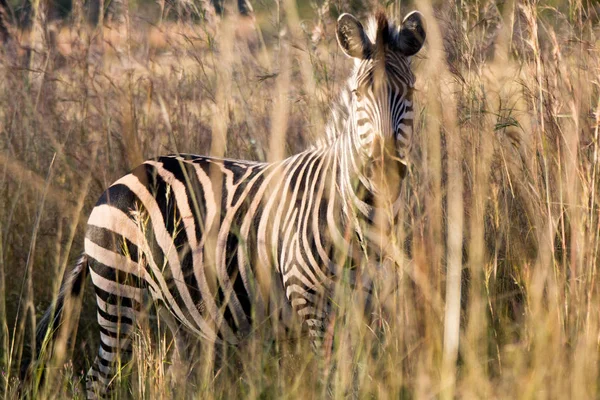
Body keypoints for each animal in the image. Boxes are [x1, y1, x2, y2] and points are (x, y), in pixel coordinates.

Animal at [32, 8, 426, 396]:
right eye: (359, 93)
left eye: (409, 91)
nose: (384, 168)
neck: (359, 215)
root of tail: (122, 178)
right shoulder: (310, 301)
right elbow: (334, 383)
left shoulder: (367, 307)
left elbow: (359, 378)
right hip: (119, 292)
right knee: (97, 380)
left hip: (173, 306)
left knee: (177, 375)